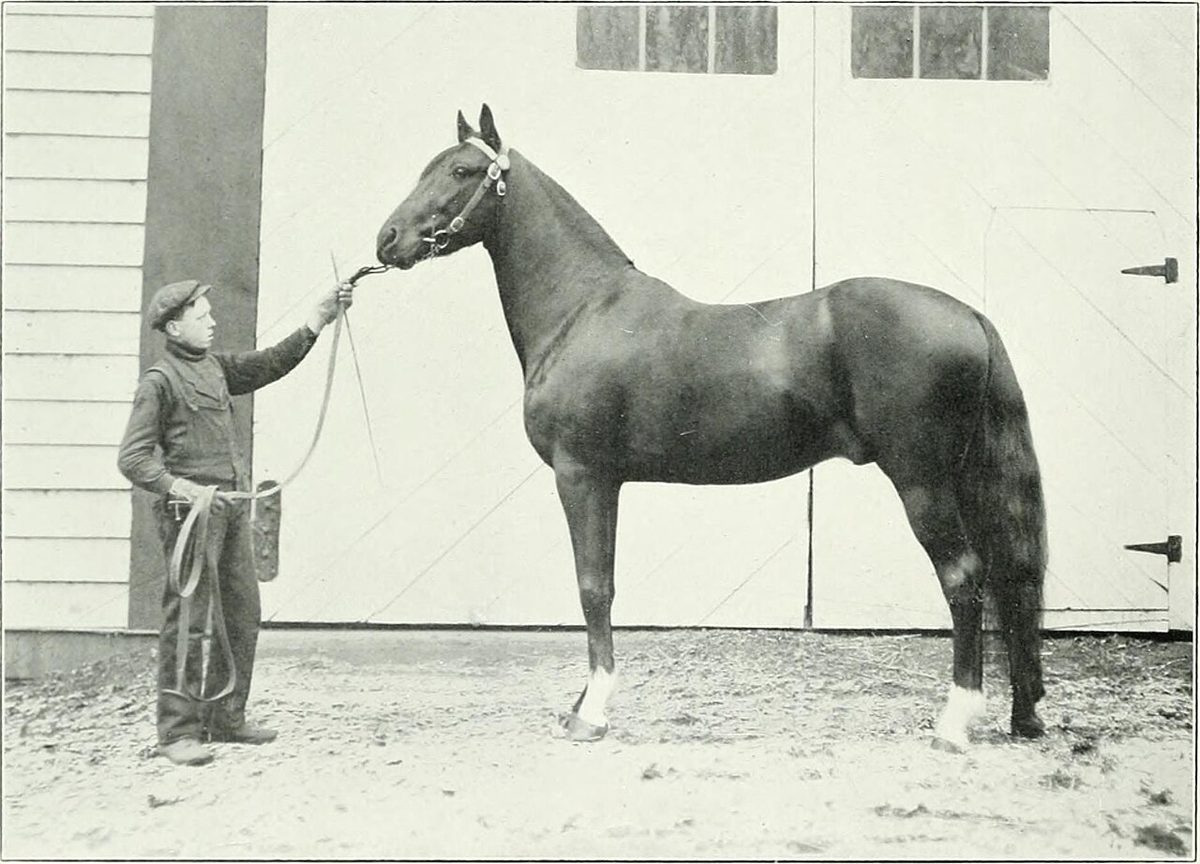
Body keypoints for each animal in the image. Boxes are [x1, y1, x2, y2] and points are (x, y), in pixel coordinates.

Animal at [374, 105, 1047, 752]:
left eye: (461, 171)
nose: (387, 239)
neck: (581, 310)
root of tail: (971, 316)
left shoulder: (582, 475)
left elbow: (593, 586)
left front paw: (591, 713)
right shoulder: (606, 482)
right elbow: (603, 583)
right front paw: (580, 705)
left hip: (922, 481)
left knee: (963, 578)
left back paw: (955, 723)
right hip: (964, 478)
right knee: (1007, 578)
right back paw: (1023, 714)